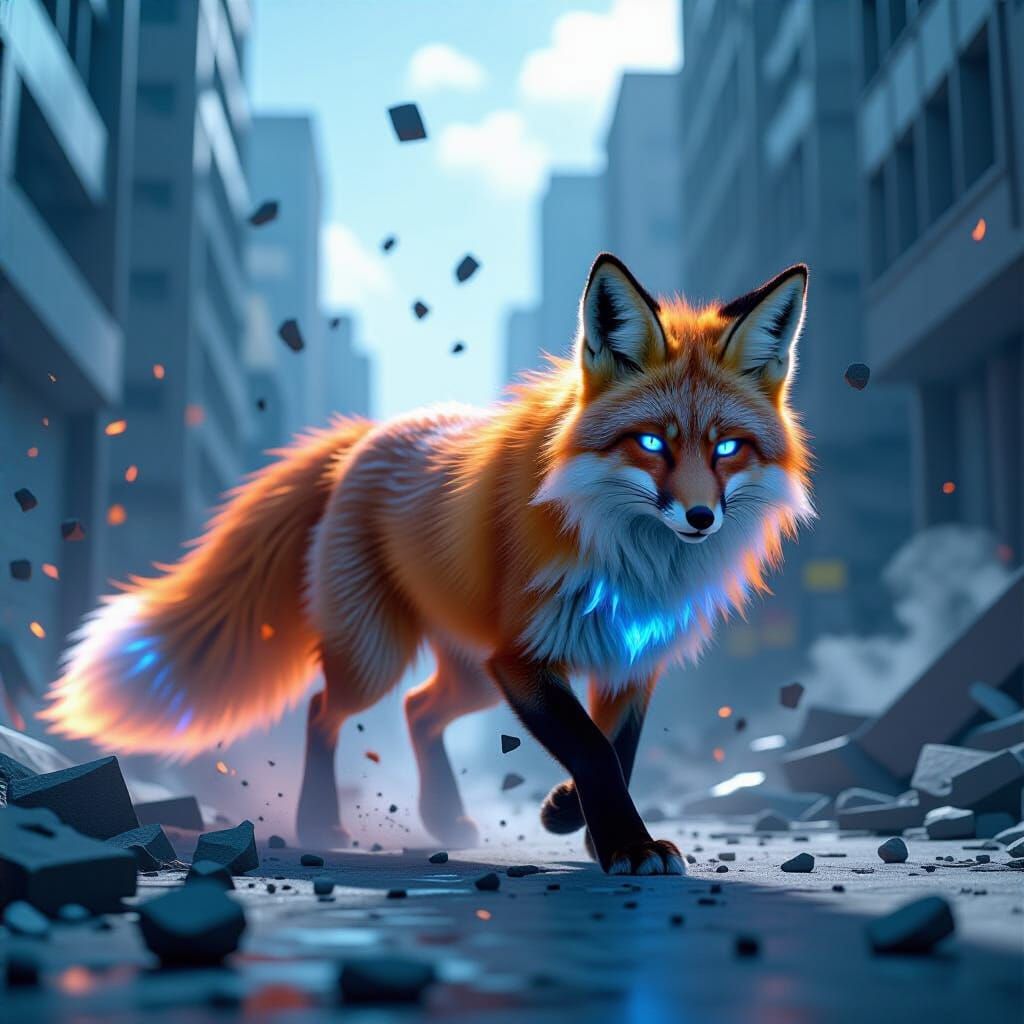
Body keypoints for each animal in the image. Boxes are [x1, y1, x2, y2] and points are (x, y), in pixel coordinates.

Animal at [41, 254, 813, 875]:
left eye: (727, 449)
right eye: (652, 442)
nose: (700, 518)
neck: (635, 564)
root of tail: (367, 435)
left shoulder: (632, 659)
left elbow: (617, 750)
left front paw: (583, 823)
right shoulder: (523, 657)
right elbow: (593, 750)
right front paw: (623, 842)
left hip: (469, 675)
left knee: (419, 710)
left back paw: (444, 817)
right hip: (382, 657)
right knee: (325, 707)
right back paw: (321, 822)